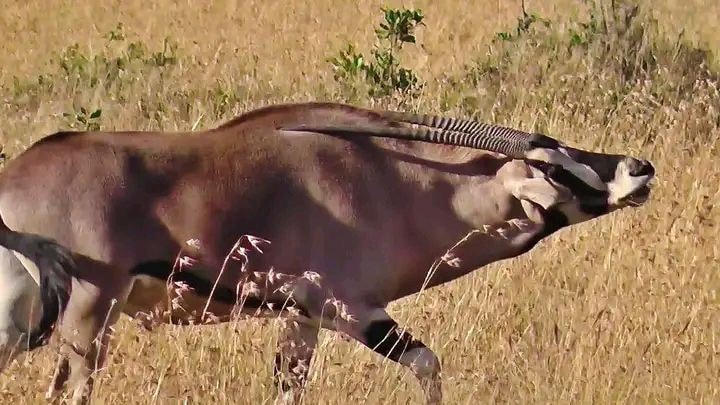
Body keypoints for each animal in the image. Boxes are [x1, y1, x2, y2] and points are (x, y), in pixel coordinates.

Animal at [0, 100, 656, 400]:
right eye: (552, 168)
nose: (639, 168)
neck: (390, 180)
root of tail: (12, 183)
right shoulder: (347, 308)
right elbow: (428, 363)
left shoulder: (299, 318)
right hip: (88, 317)